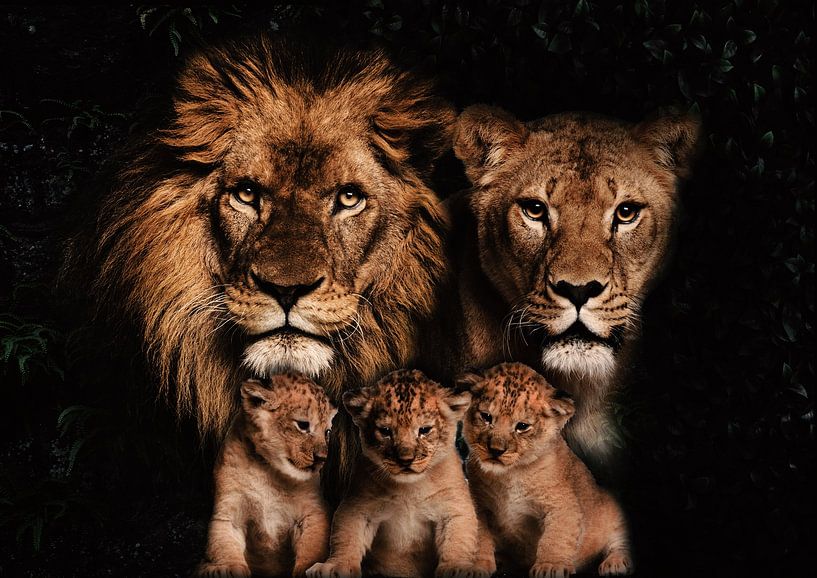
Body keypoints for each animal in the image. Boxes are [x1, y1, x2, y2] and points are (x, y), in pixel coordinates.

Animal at [197, 373, 336, 578]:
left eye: (327, 432)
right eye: (303, 425)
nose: (322, 458)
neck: (268, 470)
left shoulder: (312, 514)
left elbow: (312, 550)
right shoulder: (229, 513)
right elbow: (224, 546)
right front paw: (227, 568)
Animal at [307, 369, 479, 578]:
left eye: (424, 430)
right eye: (385, 431)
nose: (406, 460)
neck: (410, 487)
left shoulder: (453, 507)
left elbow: (458, 539)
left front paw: (457, 567)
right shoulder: (358, 505)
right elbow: (346, 537)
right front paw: (335, 566)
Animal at [461, 362, 633, 577]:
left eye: (522, 426)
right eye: (486, 417)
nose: (496, 450)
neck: (510, 474)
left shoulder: (562, 504)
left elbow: (556, 537)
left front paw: (551, 565)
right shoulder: (478, 504)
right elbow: (479, 537)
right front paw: (473, 566)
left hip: (614, 513)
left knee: (620, 542)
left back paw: (615, 563)